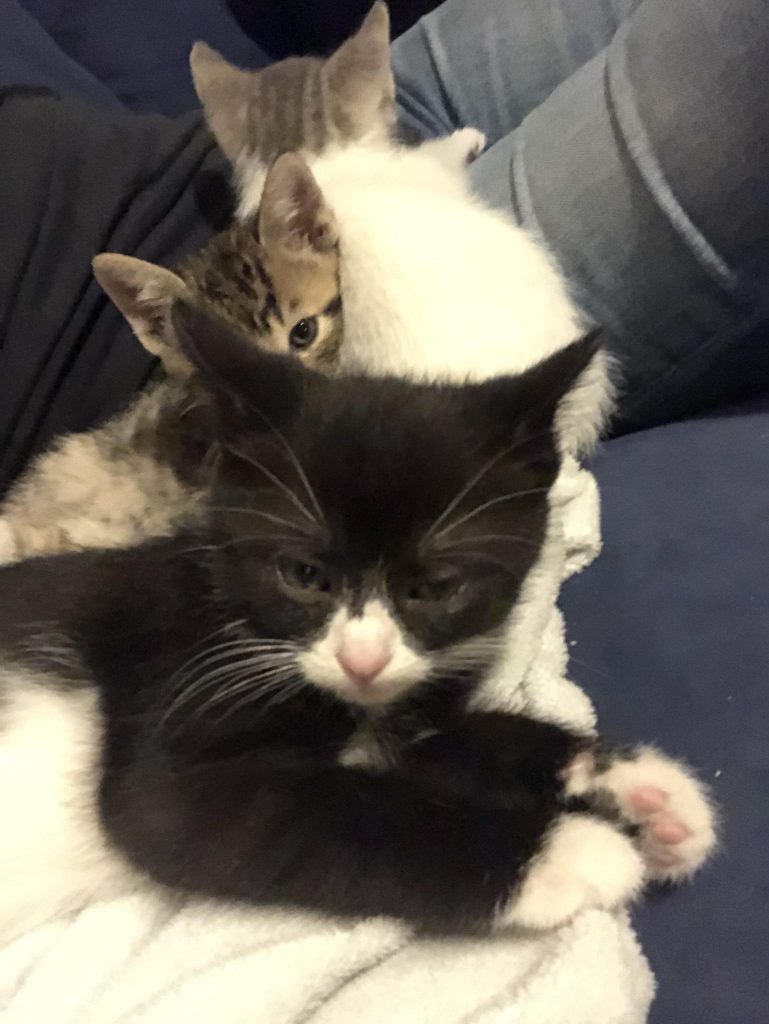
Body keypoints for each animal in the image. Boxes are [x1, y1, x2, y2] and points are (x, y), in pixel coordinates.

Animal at [0, 301, 716, 937]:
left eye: (435, 587)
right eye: (302, 575)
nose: (362, 658)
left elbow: (447, 742)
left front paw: (637, 789)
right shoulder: (172, 697)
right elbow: (342, 812)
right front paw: (565, 853)